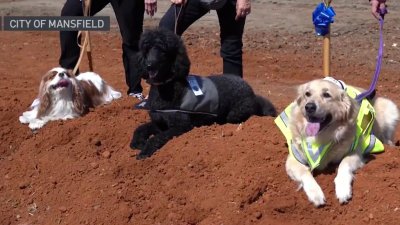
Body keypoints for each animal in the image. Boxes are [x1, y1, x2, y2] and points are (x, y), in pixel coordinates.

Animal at [130, 28, 276, 160]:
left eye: (162, 50)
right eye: (146, 49)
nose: (149, 65)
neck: (167, 87)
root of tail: (251, 91)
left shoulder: (181, 126)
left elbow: (157, 137)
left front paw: (145, 151)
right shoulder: (159, 123)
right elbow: (140, 128)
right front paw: (137, 142)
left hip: (235, 113)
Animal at [276, 78, 398, 207]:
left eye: (326, 95)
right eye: (307, 94)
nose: (309, 106)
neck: (320, 138)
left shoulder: (355, 152)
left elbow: (344, 164)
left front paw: (343, 189)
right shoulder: (293, 160)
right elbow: (305, 172)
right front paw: (316, 194)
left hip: (390, 108)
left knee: (387, 137)